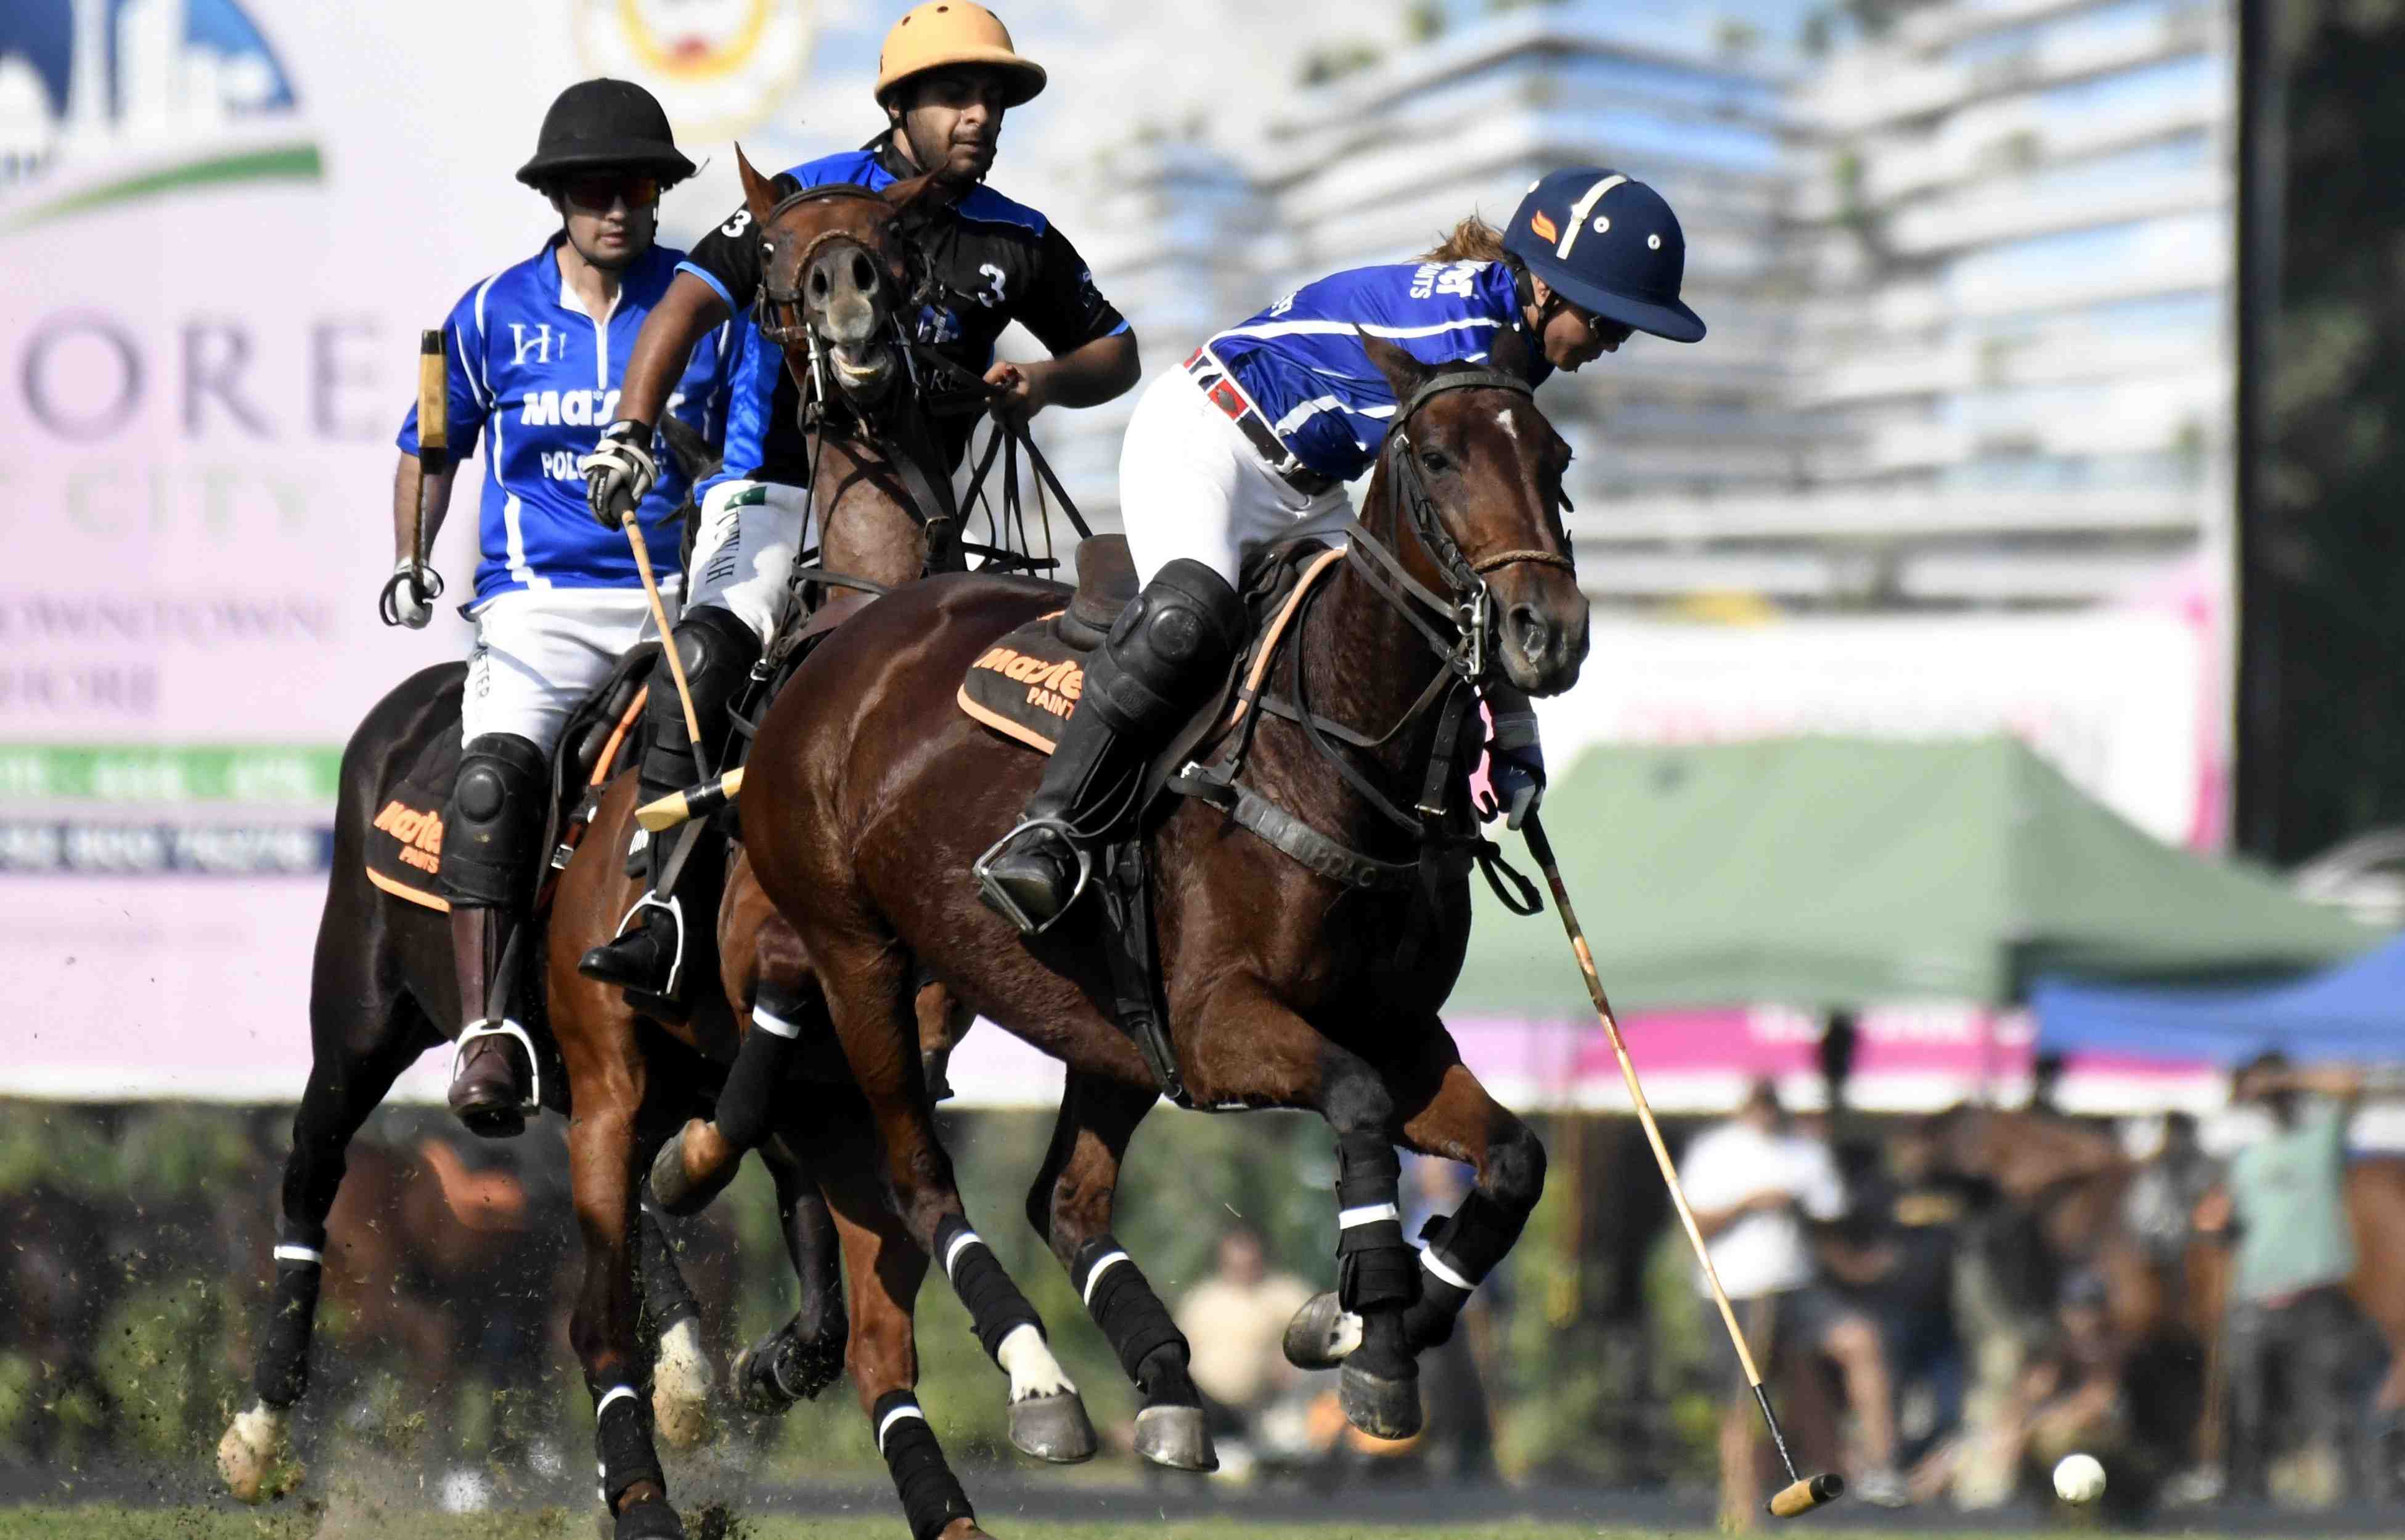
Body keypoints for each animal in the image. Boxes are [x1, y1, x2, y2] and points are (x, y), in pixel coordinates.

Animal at [731, 341, 1587, 1463]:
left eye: (1557, 458)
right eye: (1439, 457)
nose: (1547, 634)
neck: (1338, 754)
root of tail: (837, 628)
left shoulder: (1395, 1028)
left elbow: (1516, 1158)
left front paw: (1361, 1325)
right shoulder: (1219, 1021)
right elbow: (1356, 1100)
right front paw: (1370, 1335)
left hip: (1100, 1029)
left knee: (1061, 1195)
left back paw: (1164, 1387)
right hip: (857, 953)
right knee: (914, 1174)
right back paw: (1038, 1379)